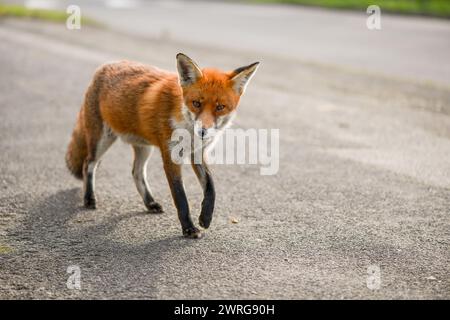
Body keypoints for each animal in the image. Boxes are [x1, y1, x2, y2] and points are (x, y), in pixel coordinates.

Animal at [65, 53, 258, 238]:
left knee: (136, 172)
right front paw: (189, 229)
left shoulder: (197, 154)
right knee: (89, 164)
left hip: (144, 148)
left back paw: (150, 203)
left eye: (220, 107)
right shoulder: (171, 156)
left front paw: (206, 217)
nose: (202, 132)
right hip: (102, 140)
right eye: (196, 103)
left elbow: (211, 187)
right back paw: (89, 199)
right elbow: (181, 197)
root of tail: (105, 66)